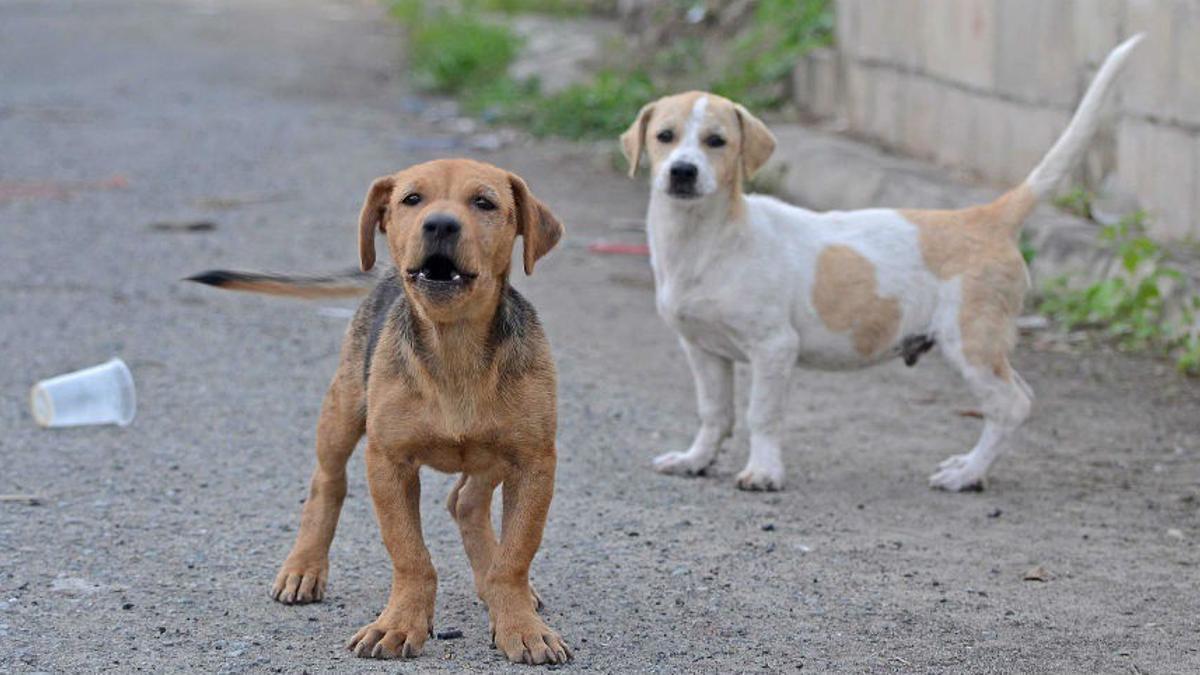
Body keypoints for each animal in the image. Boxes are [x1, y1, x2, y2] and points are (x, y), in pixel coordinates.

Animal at [190, 157, 571, 662]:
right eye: (411, 199)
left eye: (484, 203)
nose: (440, 224)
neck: (456, 347)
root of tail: (383, 273)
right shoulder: (389, 461)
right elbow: (410, 555)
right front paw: (399, 624)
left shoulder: (533, 461)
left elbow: (515, 558)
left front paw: (521, 626)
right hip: (343, 410)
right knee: (327, 482)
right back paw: (304, 568)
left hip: (495, 452)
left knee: (465, 501)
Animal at [628, 35, 1142, 487]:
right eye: (664, 137)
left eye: (716, 141)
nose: (682, 172)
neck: (704, 240)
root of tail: (986, 217)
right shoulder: (702, 348)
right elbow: (715, 413)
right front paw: (695, 460)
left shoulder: (774, 347)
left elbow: (762, 416)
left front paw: (764, 473)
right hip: (982, 345)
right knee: (1016, 397)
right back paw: (969, 466)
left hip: (969, 341)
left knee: (1011, 404)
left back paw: (967, 475)